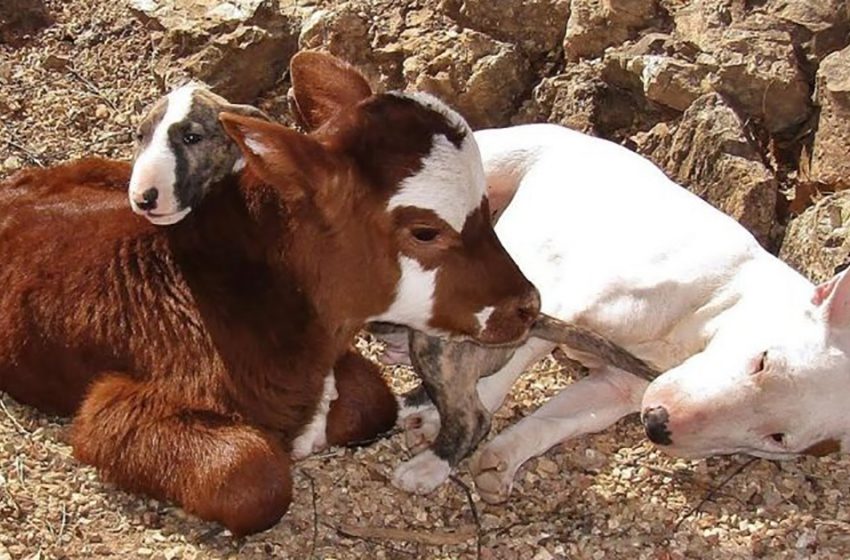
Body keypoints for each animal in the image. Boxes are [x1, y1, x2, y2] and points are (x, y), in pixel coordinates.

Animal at [0, 51, 536, 532]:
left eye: (487, 206)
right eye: (425, 232)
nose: (529, 305)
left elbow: (371, 400)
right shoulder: (115, 405)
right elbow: (252, 476)